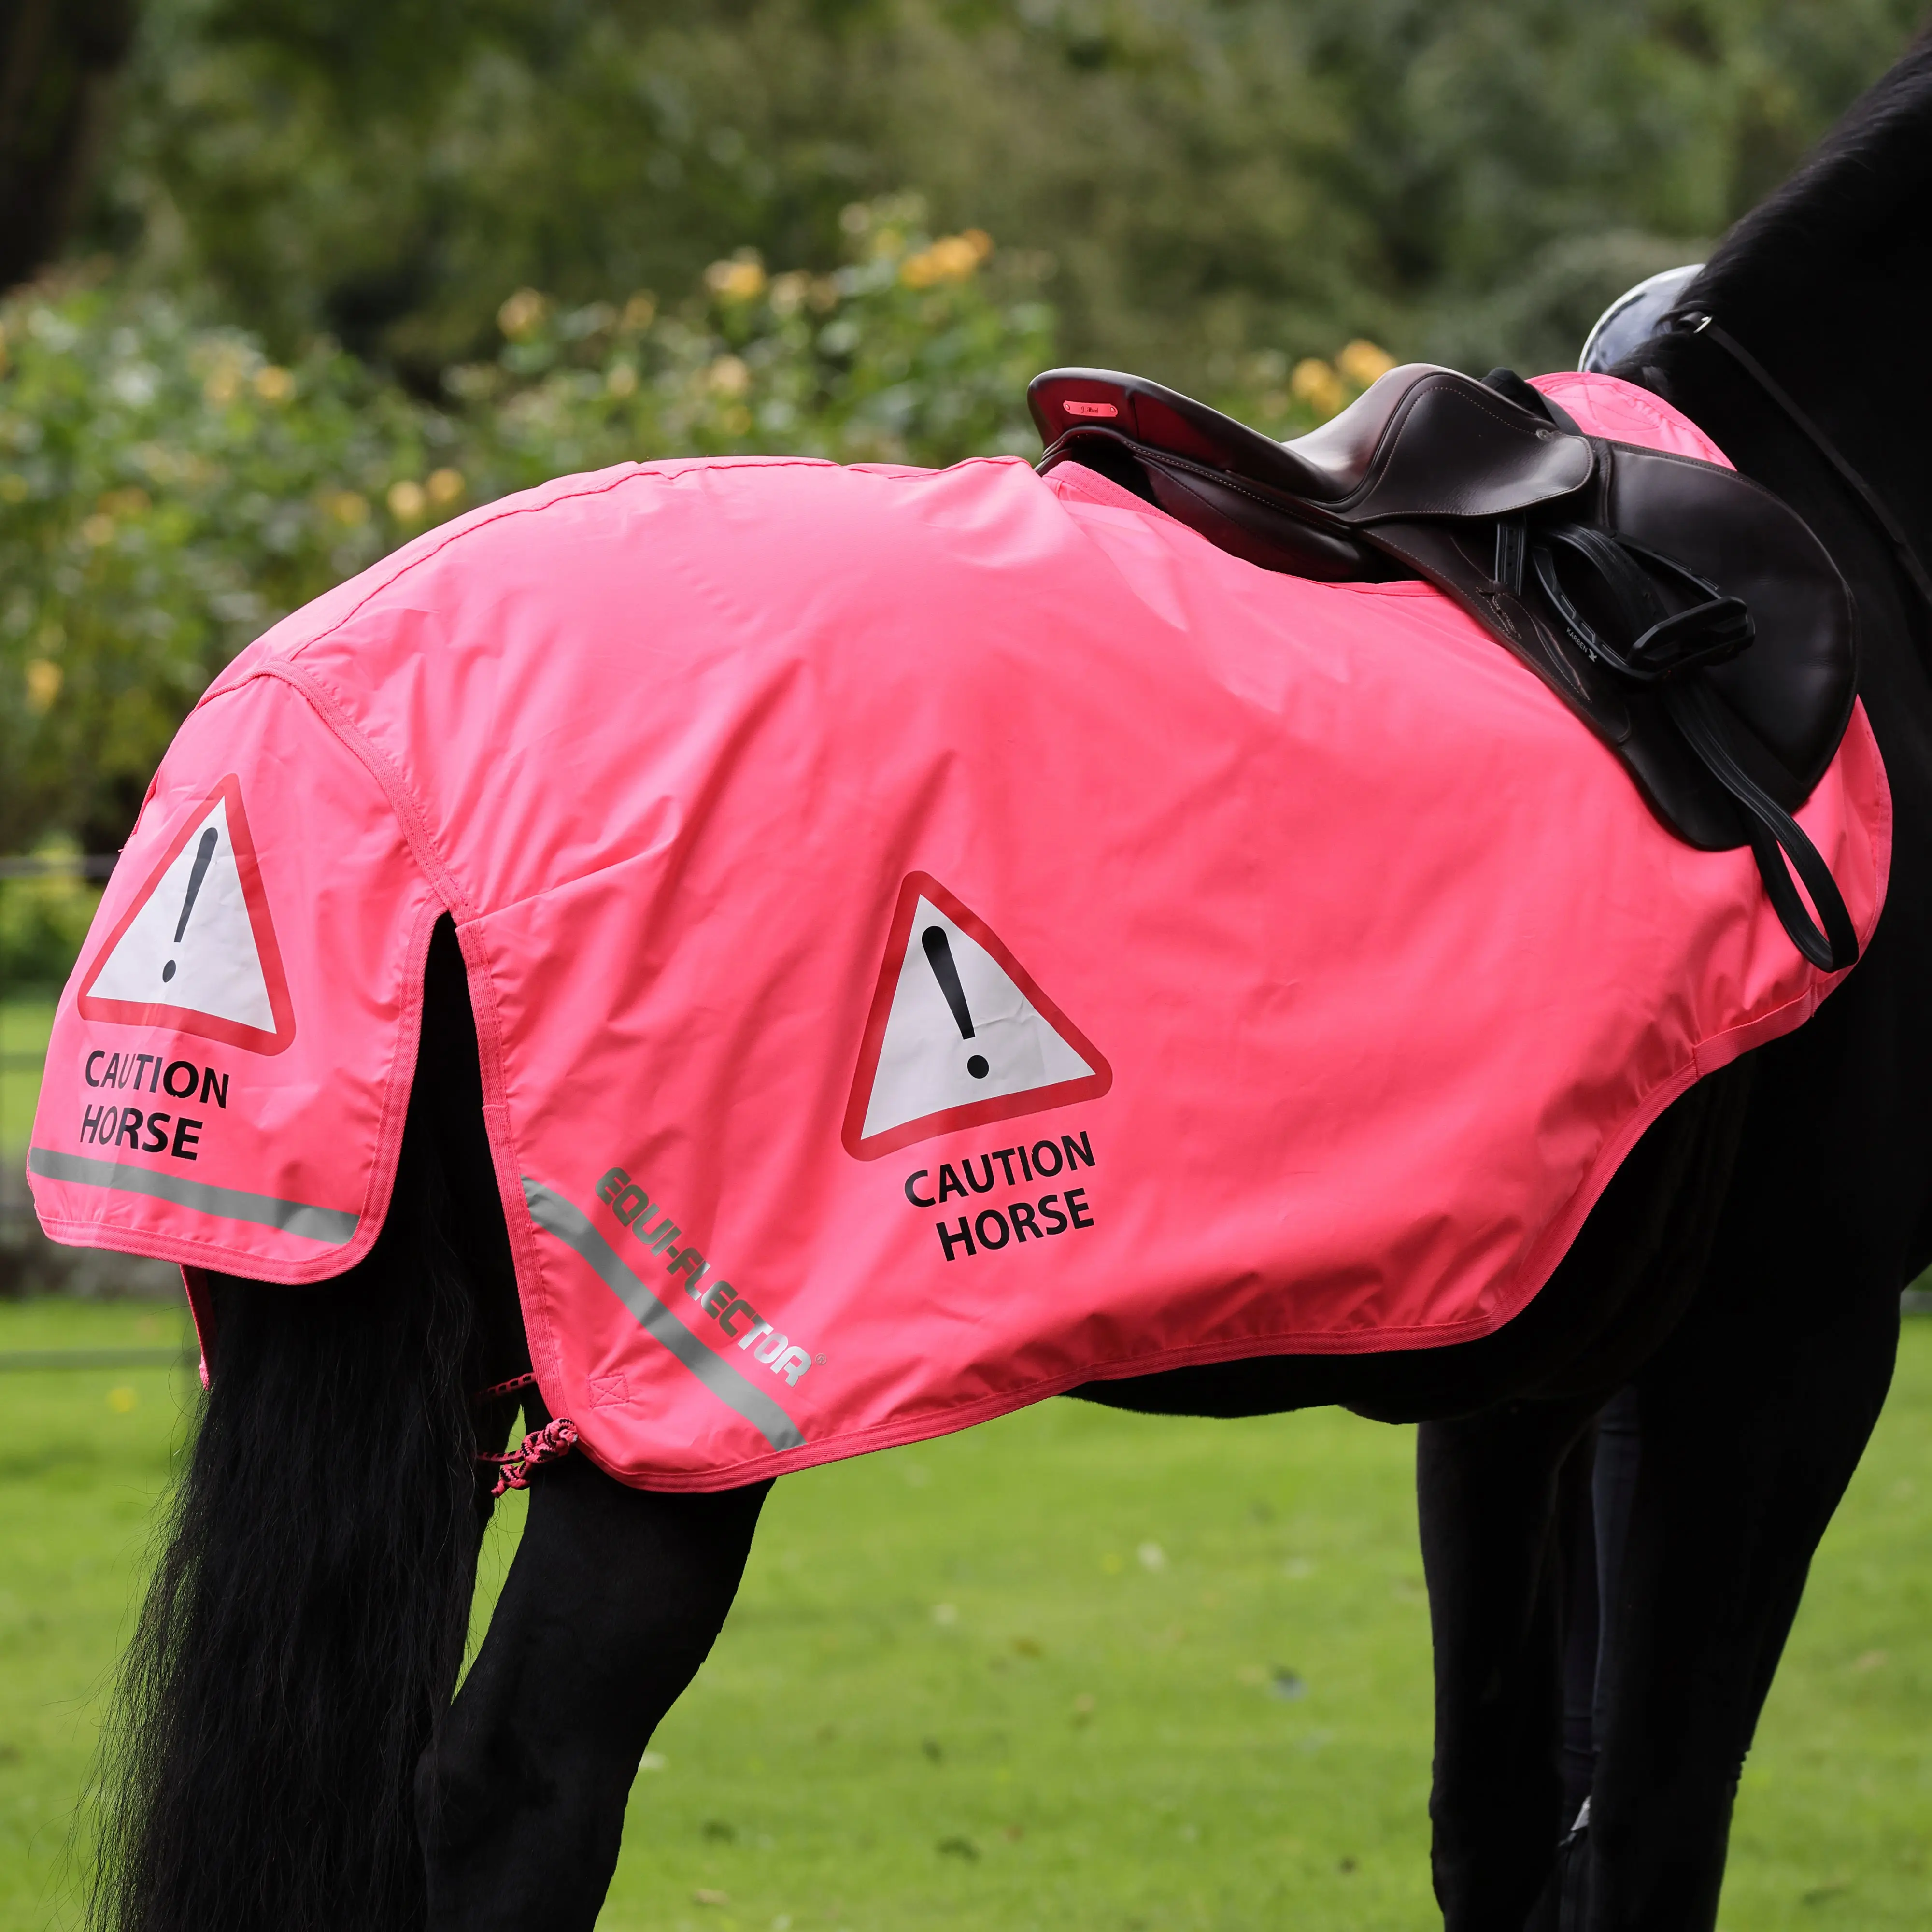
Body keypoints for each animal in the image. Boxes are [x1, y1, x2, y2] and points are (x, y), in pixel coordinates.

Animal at [78, 37, 1932, 1932]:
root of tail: (326, 730)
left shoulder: (1530, 1367)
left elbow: (1503, 1818)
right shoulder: (1777, 1345)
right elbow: (1649, 1827)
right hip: (677, 1407)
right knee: (510, 1790)